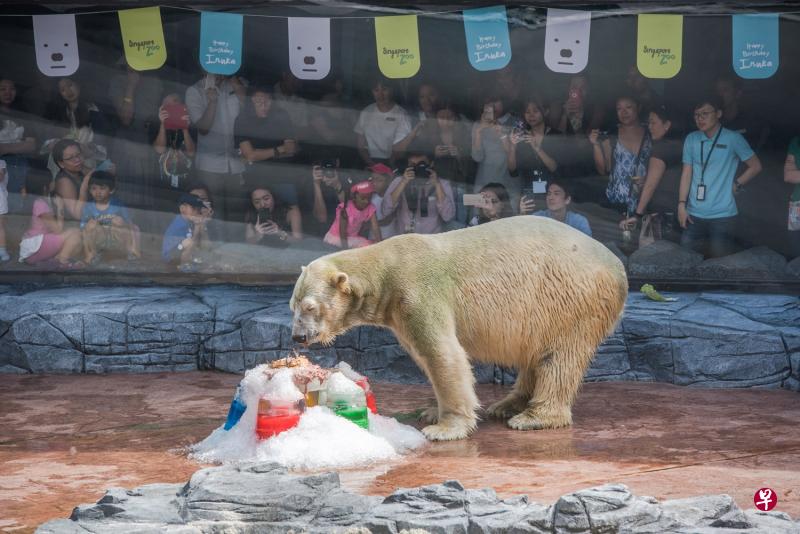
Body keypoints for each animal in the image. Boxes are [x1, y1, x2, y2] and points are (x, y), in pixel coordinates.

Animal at [290, 215, 627, 441]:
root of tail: (619, 267)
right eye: (293, 306)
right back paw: (507, 405)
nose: (298, 336)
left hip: (570, 298)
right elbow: (424, 356)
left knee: (559, 356)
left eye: (310, 307)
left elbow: (444, 355)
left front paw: (442, 427)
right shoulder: (399, 312)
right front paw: (431, 410)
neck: (385, 269)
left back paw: (533, 417)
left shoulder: (418, 292)